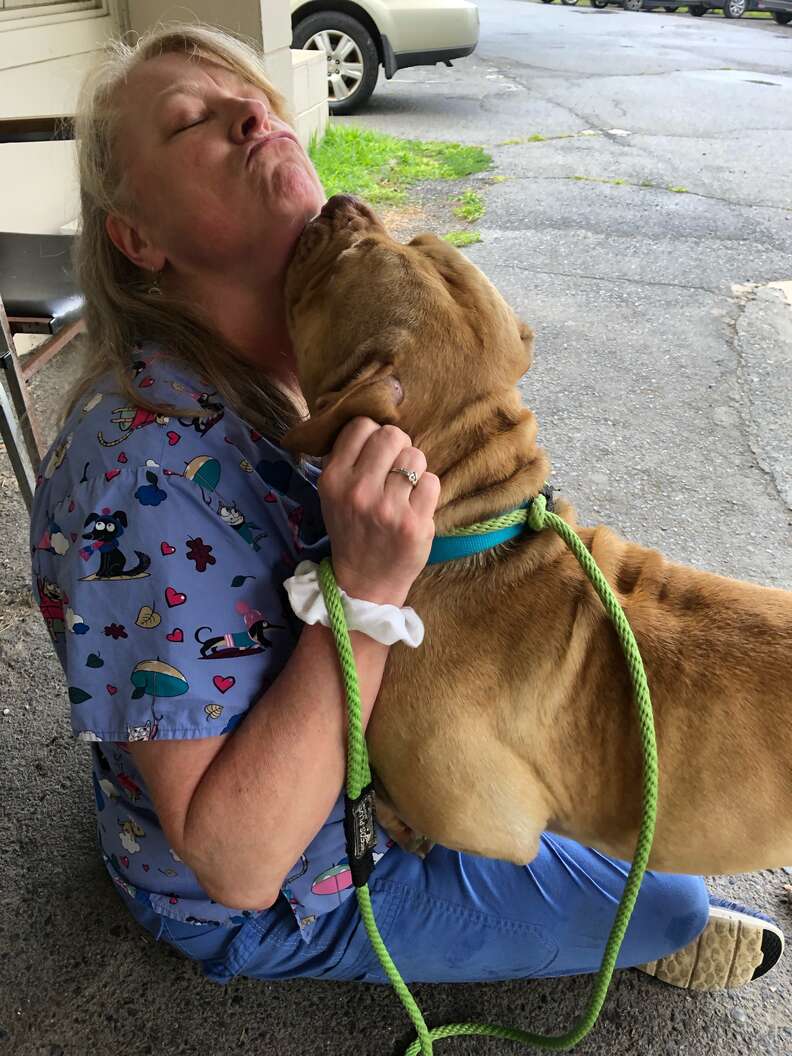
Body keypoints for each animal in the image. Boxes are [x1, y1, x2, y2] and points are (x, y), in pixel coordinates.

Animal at [285, 196, 792, 874]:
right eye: (414, 240)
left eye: (350, 258)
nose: (342, 203)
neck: (476, 528)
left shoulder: (490, 824)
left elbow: (397, 805)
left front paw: (388, 817)